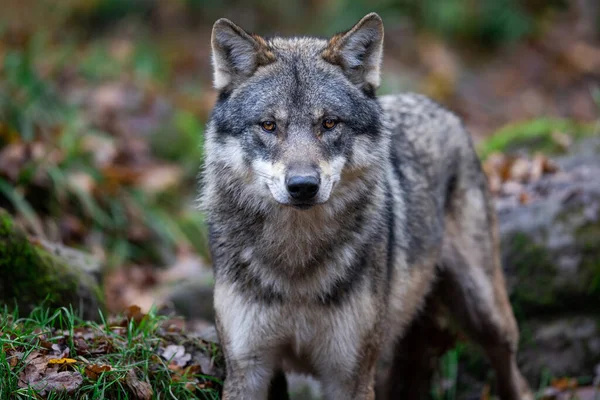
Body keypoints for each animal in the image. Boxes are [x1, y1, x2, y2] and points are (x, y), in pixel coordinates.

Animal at [202, 12, 536, 400]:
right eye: (269, 125)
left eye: (329, 123)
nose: (303, 186)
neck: (296, 264)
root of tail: (439, 107)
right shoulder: (248, 369)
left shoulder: (351, 376)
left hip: (485, 313)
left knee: (513, 374)